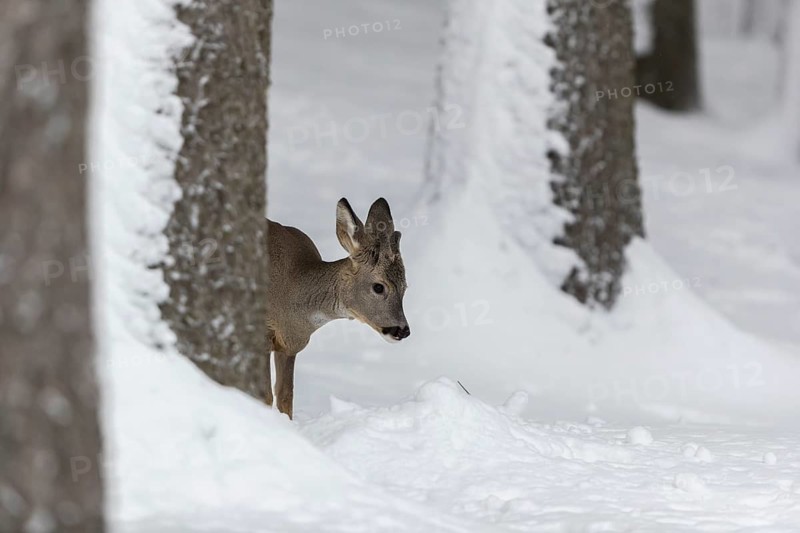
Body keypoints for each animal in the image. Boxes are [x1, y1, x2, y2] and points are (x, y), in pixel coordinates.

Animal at [266, 197, 410, 418]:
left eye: (405, 287)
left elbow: (284, 396)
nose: (402, 330)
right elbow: (264, 394)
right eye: (378, 287)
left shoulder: (289, 346)